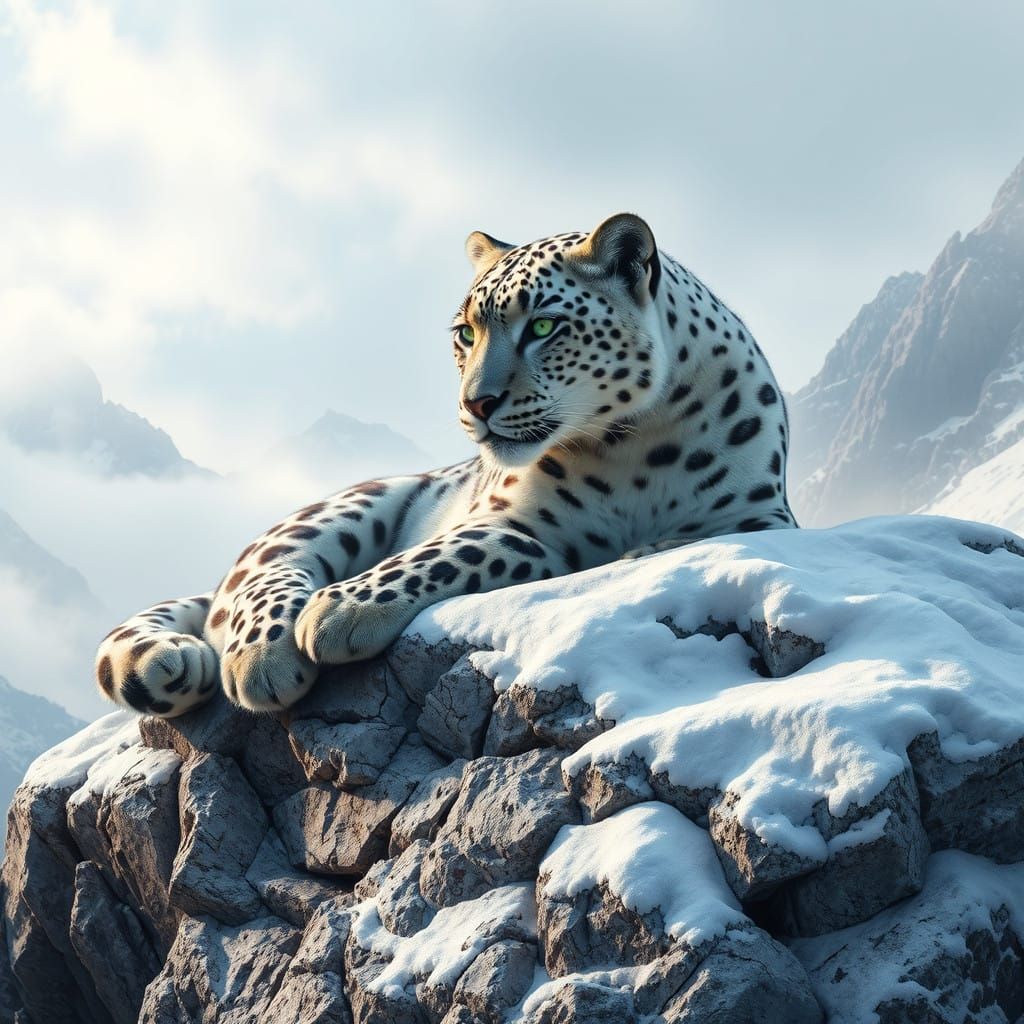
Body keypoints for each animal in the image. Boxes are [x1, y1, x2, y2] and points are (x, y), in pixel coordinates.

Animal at [95, 213, 797, 718]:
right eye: (466, 334)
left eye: (544, 327)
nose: (475, 403)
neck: (634, 443)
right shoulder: (513, 522)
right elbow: (447, 552)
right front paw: (333, 612)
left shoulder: (760, 518)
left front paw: (333, 612)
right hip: (339, 510)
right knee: (251, 586)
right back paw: (260, 655)